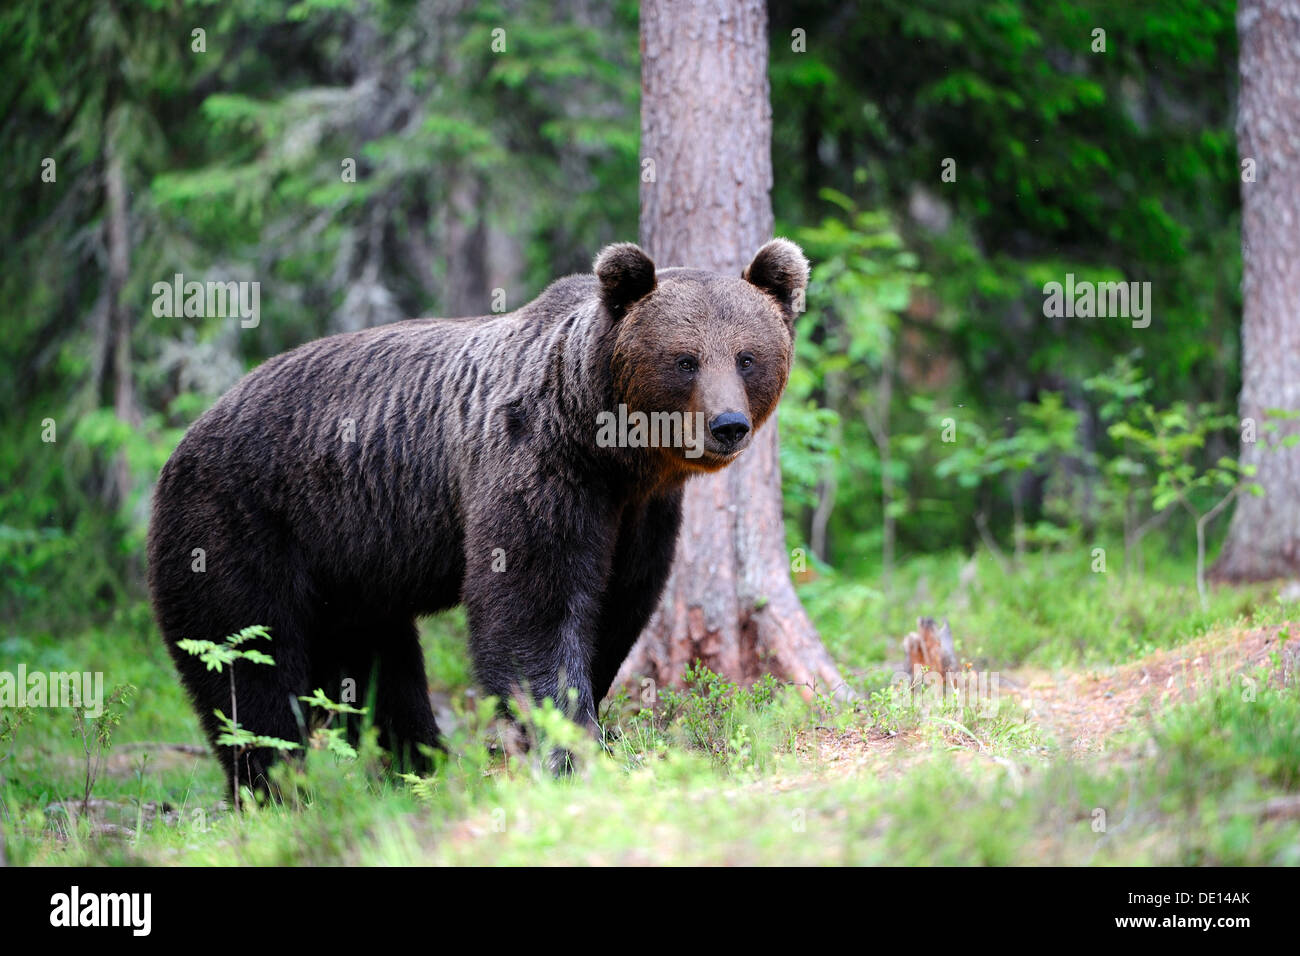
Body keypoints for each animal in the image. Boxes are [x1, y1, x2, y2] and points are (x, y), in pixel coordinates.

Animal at [147, 238, 806, 790]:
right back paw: (278, 791)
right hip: (239, 526)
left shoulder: (642, 514)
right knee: (247, 667)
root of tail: (183, 441)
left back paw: (418, 769)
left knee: (375, 668)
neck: (609, 448)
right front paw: (567, 746)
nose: (728, 425)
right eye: (685, 359)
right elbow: (533, 605)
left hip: (349, 566)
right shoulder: (534, 462)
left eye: (747, 357)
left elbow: (618, 608)